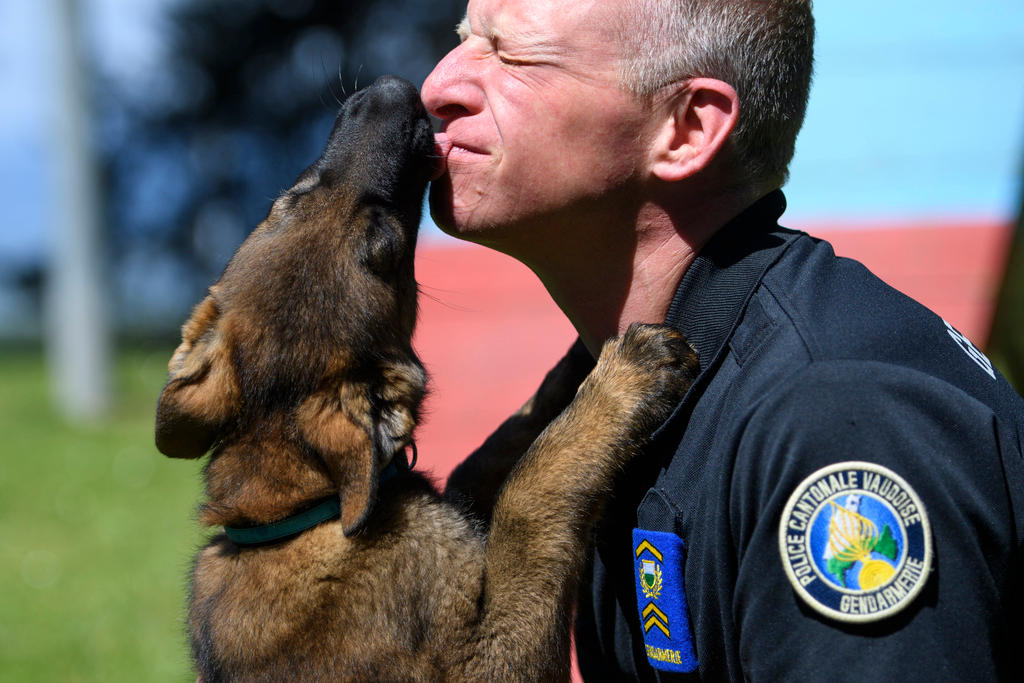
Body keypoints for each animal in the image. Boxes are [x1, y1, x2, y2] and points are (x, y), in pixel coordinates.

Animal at [155, 77, 696, 679]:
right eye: (387, 245)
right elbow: (528, 494)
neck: (301, 508)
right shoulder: (495, 660)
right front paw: (625, 378)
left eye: (290, 199)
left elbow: (493, 452)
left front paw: (580, 362)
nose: (389, 91)